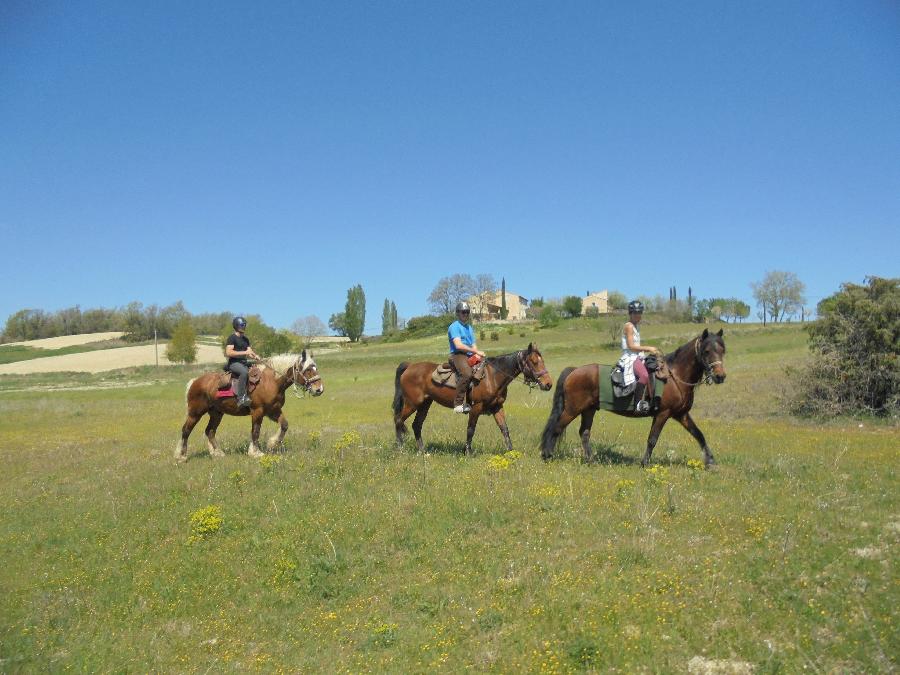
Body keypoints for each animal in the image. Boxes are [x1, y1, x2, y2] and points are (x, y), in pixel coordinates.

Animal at [176, 348, 324, 464]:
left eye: (315, 368)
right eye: (308, 370)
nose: (319, 389)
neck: (271, 381)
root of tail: (195, 381)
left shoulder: (273, 411)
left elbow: (284, 425)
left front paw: (272, 444)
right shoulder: (258, 411)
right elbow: (255, 431)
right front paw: (255, 452)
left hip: (216, 413)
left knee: (210, 431)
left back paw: (217, 453)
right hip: (195, 413)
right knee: (186, 430)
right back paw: (181, 456)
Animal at [392, 344, 552, 454]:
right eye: (534, 362)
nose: (549, 384)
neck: (492, 377)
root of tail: (410, 366)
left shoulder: (497, 407)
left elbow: (504, 429)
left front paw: (511, 451)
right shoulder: (476, 407)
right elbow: (471, 429)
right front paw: (467, 451)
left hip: (425, 404)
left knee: (416, 425)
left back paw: (422, 451)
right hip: (412, 403)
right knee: (399, 420)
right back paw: (400, 448)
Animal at [540, 328, 724, 468]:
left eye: (722, 350)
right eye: (707, 351)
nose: (720, 376)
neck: (674, 377)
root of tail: (574, 370)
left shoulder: (681, 414)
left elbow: (699, 434)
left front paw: (710, 461)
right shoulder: (663, 413)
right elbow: (652, 439)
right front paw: (645, 463)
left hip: (588, 410)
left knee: (584, 433)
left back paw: (590, 460)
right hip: (572, 409)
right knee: (556, 428)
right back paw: (547, 455)